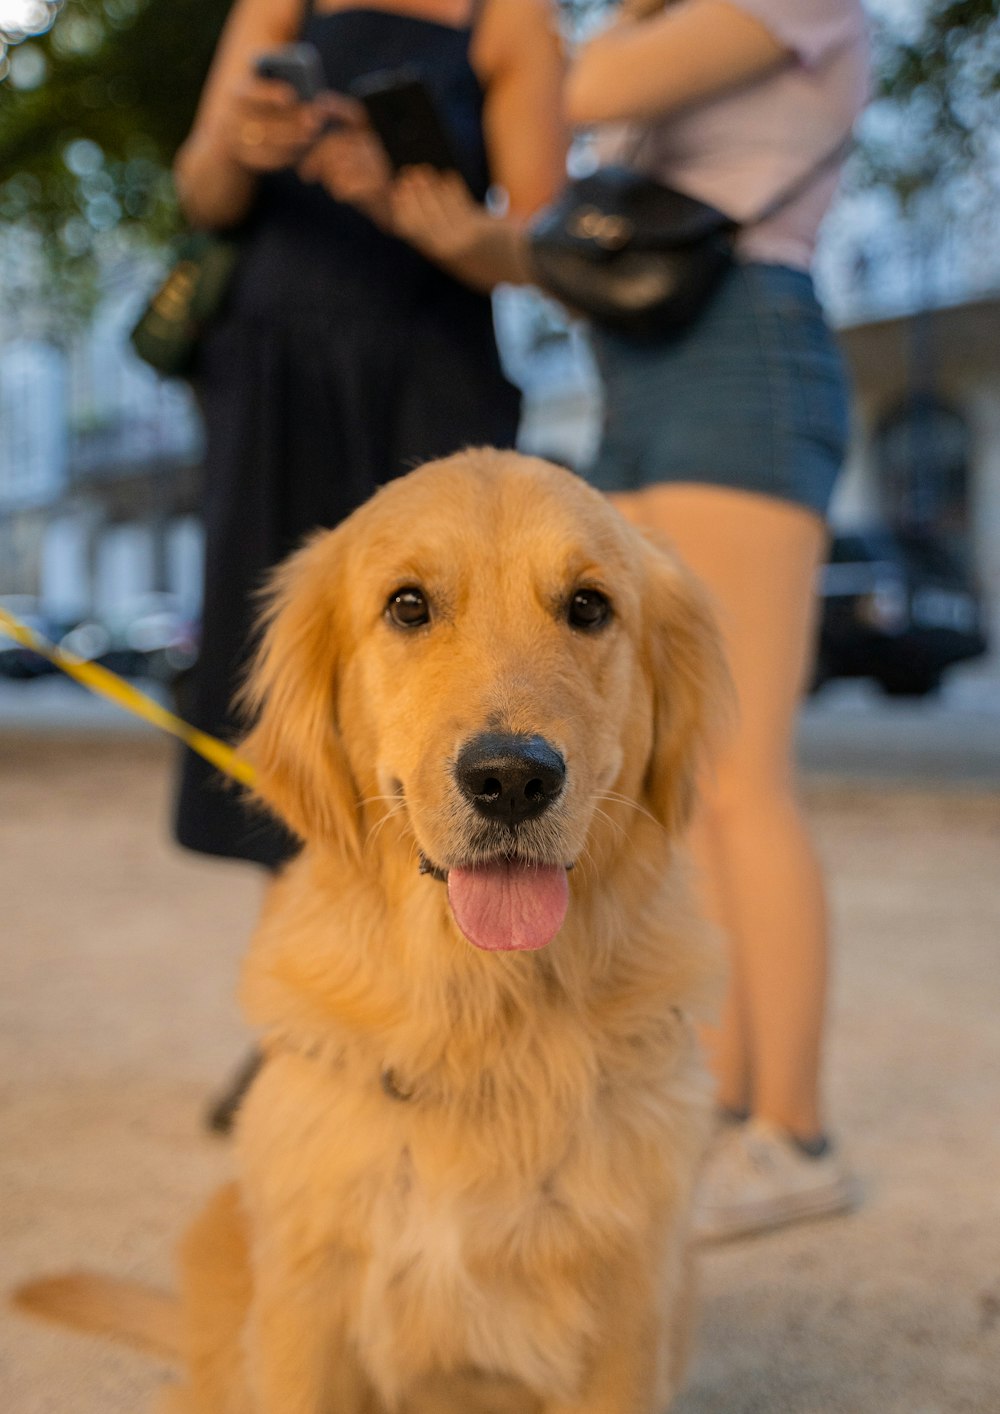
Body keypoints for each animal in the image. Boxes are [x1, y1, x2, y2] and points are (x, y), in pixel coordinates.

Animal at [19, 443, 724, 1414]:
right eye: (408, 605)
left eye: (588, 606)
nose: (512, 779)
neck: (480, 1011)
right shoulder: (308, 1307)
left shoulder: (627, 1313)